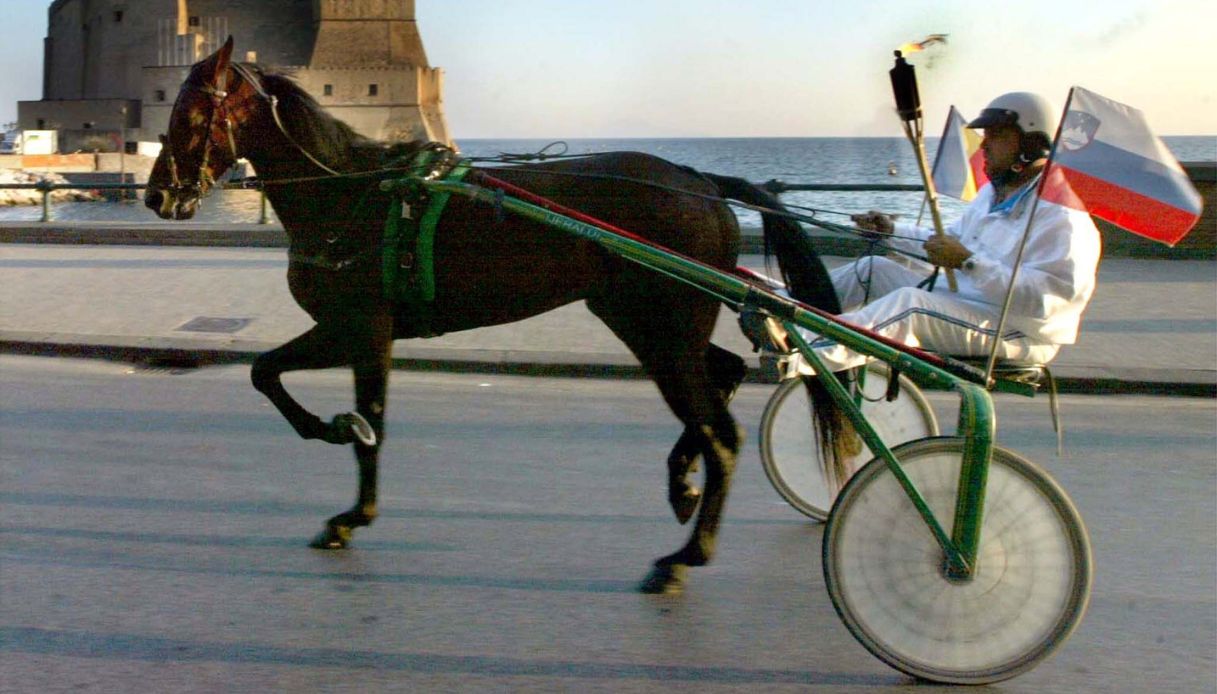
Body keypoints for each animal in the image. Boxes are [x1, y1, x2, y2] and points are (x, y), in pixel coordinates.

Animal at [145, 37, 842, 594]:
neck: (352, 192)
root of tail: (700, 181)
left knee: (719, 432)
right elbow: (266, 372)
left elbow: (363, 421)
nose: (156, 195)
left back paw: (685, 553)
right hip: (652, 324)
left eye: (191, 113)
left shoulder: (362, 327)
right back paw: (682, 482)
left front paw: (349, 492)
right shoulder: (353, 330)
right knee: (720, 379)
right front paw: (332, 437)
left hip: (659, 331)